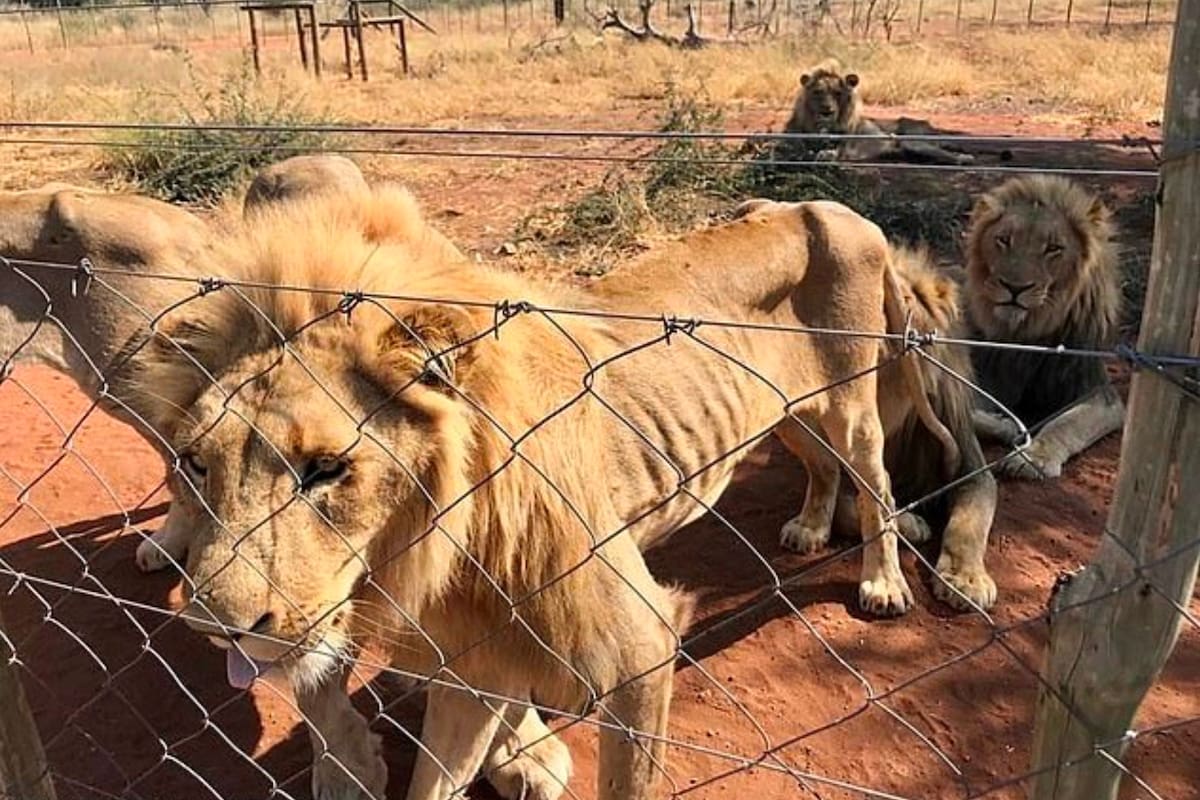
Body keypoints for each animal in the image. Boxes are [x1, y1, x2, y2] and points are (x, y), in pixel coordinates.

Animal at [128, 186, 958, 800]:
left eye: (326, 468)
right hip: (793, 413)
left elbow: (626, 783)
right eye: (195, 464)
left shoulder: (637, 650)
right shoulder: (473, 658)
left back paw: (883, 584)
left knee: (877, 484)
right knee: (822, 467)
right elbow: (436, 778)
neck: (440, 542)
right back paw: (812, 527)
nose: (216, 628)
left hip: (851, 403)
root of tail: (836, 209)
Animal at [783, 60, 974, 166]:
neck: (819, 128)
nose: (827, 111)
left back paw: (965, 158)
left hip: (913, 142)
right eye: (818, 92)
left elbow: (829, 152)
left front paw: (822, 154)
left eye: (838, 93)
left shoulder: (844, 147)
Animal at [964, 174, 1124, 480]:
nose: (1014, 288)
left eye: (1053, 248)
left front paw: (1032, 458)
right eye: (1004, 240)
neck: (1027, 331)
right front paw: (1006, 427)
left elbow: (1067, 422)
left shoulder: (1099, 393)